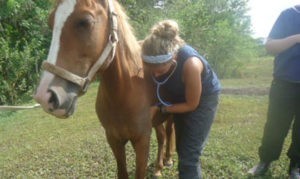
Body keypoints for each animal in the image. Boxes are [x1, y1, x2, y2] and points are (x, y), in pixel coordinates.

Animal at [35, 0, 175, 178]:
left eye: (85, 22)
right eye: (51, 22)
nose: (45, 97)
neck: (125, 92)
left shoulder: (142, 140)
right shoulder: (114, 140)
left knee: (169, 132)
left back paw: (168, 160)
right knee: (162, 135)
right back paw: (158, 167)